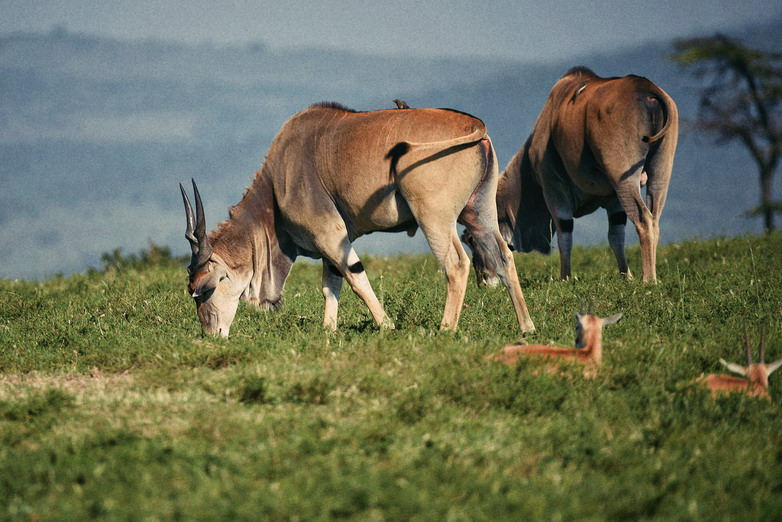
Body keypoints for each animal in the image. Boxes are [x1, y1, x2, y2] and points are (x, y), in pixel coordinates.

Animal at [181, 102, 536, 338]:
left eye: (201, 289)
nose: (211, 334)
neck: (278, 181)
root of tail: (474, 128)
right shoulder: (331, 242)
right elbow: (331, 284)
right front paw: (328, 332)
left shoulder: (330, 234)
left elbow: (355, 278)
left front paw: (388, 326)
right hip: (479, 214)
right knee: (503, 258)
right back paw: (527, 328)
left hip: (434, 218)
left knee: (456, 264)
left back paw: (445, 329)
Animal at [466, 68, 680, 284]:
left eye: (471, 240)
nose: (482, 281)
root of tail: (647, 89)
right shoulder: (614, 199)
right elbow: (616, 236)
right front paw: (626, 276)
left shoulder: (553, 187)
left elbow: (565, 234)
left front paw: (564, 278)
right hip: (660, 172)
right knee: (654, 217)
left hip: (624, 178)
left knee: (644, 219)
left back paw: (649, 279)